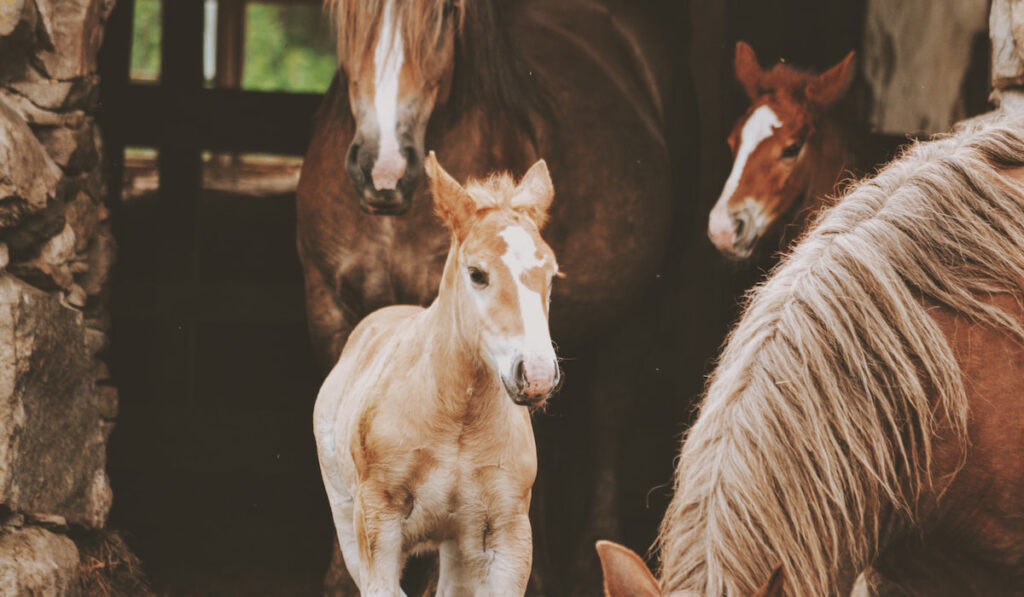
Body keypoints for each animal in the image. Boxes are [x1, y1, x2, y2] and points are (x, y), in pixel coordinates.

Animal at [315, 151, 565, 593]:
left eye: (551, 274)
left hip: (459, 544)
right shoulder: (377, 524)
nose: (535, 375)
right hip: (348, 518)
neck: (457, 419)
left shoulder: (508, 532)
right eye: (477, 274)